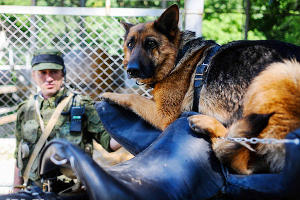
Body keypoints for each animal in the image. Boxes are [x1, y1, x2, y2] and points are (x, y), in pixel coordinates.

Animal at [102, 3, 300, 174]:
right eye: (130, 44)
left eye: (151, 44)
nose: (131, 70)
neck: (178, 56)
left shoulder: (163, 115)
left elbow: (134, 97)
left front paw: (109, 94)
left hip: (280, 72)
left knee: (240, 159)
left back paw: (205, 123)